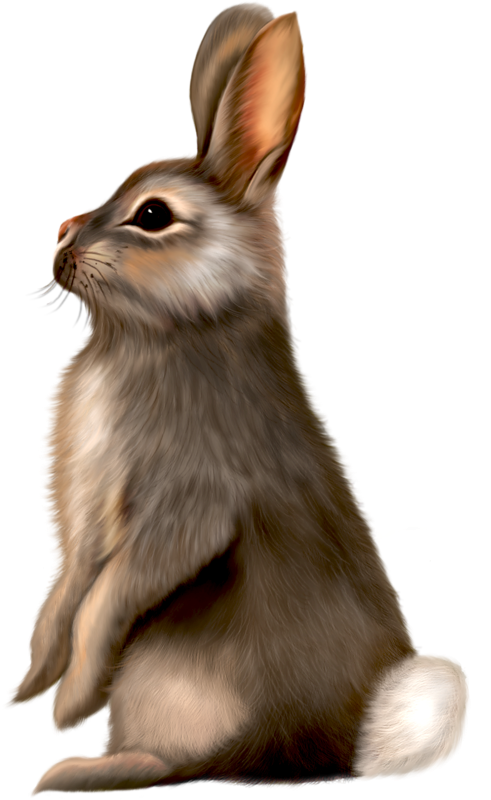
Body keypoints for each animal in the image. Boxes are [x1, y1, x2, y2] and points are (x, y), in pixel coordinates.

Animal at [6, 2, 470, 794]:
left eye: (152, 215)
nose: (61, 244)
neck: (164, 331)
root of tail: (336, 751)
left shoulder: (188, 500)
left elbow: (106, 599)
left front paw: (66, 709)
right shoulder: (81, 523)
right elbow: (62, 597)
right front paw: (27, 688)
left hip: (170, 679)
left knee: (200, 766)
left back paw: (76, 769)